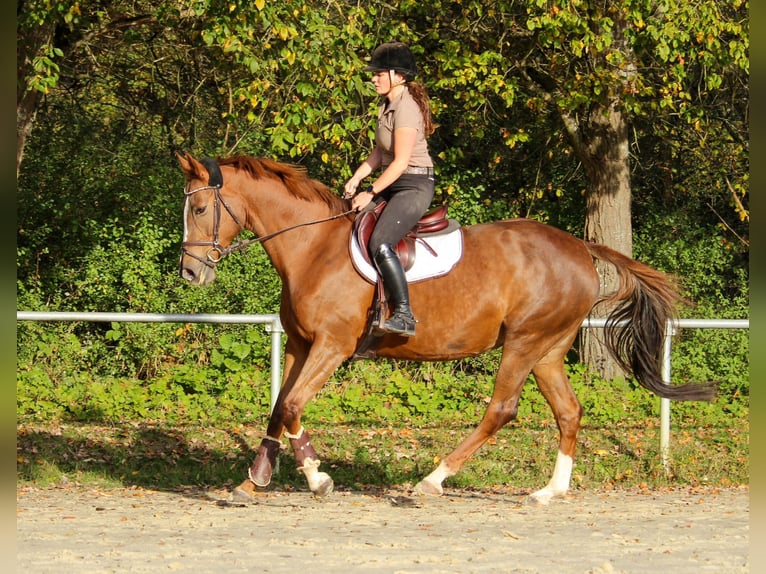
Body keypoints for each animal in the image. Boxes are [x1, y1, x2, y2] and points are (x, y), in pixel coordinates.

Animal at [177, 152, 716, 504]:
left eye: (200, 209)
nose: (190, 273)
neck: (313, 248)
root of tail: (581, 248)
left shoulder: (331, 346)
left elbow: (291, 405)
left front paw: (317, 479)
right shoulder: (300, 344)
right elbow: (278, 407)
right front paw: (253, 480)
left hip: (525, 343)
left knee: (501, 410)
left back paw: (432, 481)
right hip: (548, 349)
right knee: (569, 411)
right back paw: (549, 491)